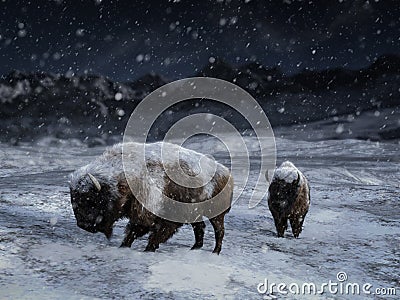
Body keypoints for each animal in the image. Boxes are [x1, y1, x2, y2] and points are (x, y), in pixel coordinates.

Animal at [67, 142, 233, 254]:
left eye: (92, 200)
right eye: (74, 200)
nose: (83, 224)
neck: (123, 179)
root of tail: (226, 172)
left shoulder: (154, 216)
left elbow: (149, 233)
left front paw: (147, 249)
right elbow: (134, 233)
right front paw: (124, 246)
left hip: (216, 215)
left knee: (219, 231)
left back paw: (215, 252)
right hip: (197, 214)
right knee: (200, 228)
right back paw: (195, 248)